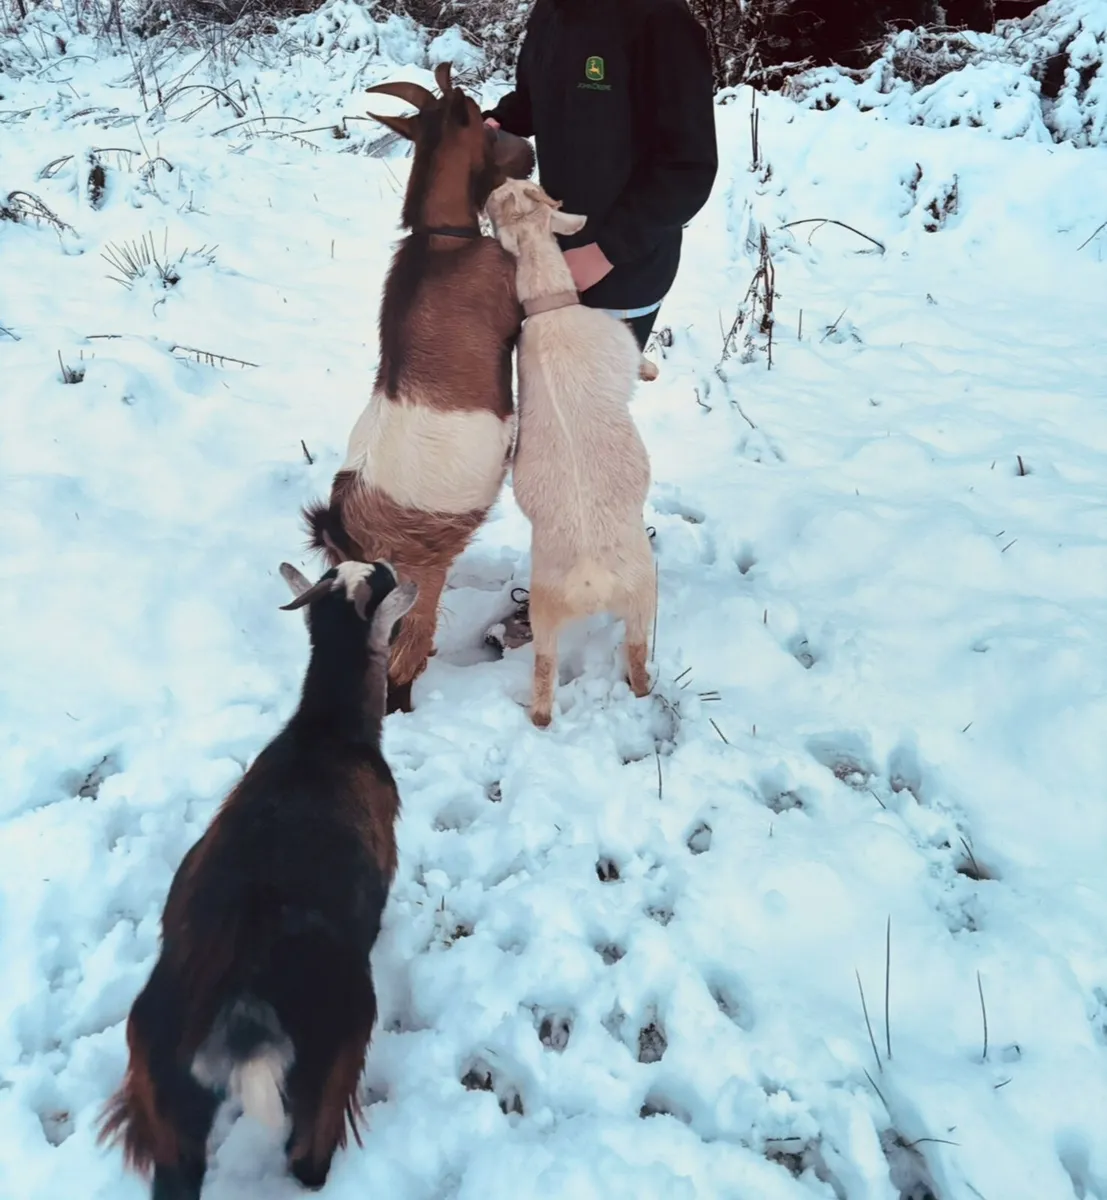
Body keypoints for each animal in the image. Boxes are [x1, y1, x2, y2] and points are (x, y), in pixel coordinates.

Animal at [98, 561, 418, 1199]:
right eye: (381, 576)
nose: (403, 575)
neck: (327, 730)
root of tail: (243, 1013)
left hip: (163, 1094)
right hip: (337, 1049)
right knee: (307, 1158)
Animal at [305, 61, 536, 716]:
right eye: (477, 117)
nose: (530, 153)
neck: (442, 239)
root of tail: (341, 525)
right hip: (421, 573)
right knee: (405, 653)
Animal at [486, 178, 656, 727]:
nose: (500, 181)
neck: (549, 303)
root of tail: (589, 579)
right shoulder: (619, 343)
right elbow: (637, 362)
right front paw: (651, 371)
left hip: (545, 609)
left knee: (543, 670)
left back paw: (539, 719)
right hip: (642, 591)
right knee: (637, 653)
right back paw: (644, 691)